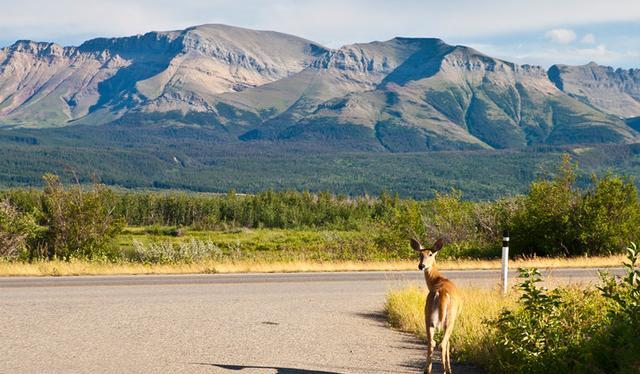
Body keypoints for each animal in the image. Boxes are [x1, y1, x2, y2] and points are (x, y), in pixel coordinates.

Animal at [412, 238, 462, 374]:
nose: (421, 266)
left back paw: (427, 370)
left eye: (430, 254)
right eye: (420, 254)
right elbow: (448, 342)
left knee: (431, 342)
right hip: (449, 318)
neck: (438, 280)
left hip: (427, 315)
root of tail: (440, 293)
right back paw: (445, 371)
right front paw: (449, 368)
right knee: (442, 343)